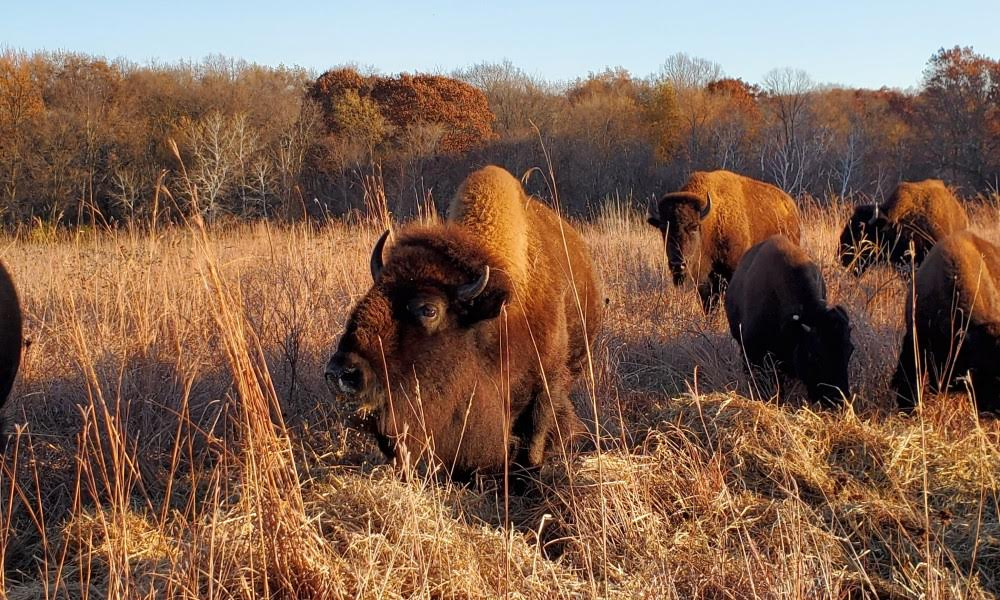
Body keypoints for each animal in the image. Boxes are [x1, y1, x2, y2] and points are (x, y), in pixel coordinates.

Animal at [325, 166, 604, 479]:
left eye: (428, 309)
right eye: (371, 294)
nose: (341, 372)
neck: (496, 318)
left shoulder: (548, 381)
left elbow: (536, 432)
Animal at [647, 170, 801, 312]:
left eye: (694, 226)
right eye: (663, 228)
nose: (678, 265)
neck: (711, 221)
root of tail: (792, 208)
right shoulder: (705, 282)